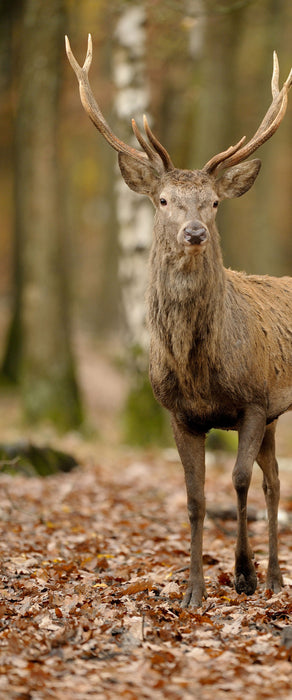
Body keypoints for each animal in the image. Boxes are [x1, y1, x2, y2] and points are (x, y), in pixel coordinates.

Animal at [66, 34, 292, 608]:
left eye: (213, 202)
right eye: (164, 199)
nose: (194, 232)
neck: (199, 369)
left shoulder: (254, 400)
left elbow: (237, 481)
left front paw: (243, 575)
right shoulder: (178, 413)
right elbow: (193, 497)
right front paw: (194, 591)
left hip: (273, 407)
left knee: (269, 483)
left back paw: (271, 578)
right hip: (274, 417)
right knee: (276, 480)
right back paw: (276, 577)